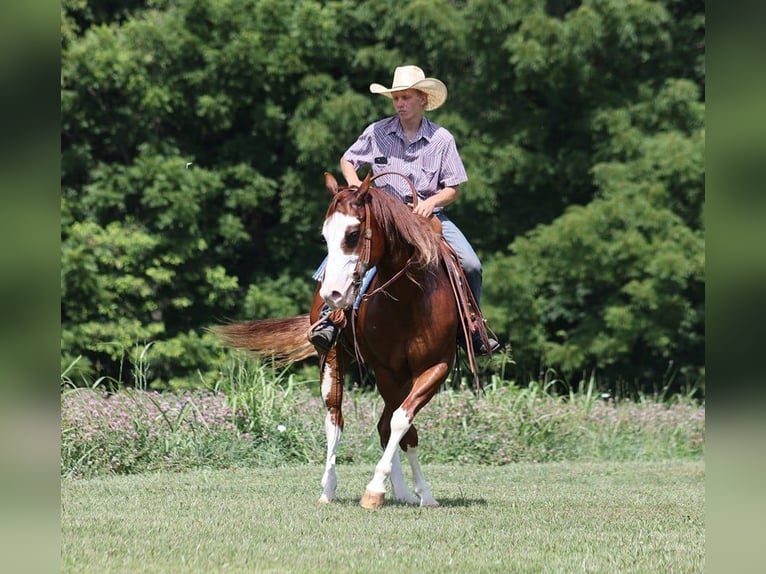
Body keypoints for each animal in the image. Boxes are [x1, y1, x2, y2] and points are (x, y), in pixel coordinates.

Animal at [216, 173, 486, 510]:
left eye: (354, 233)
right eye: (325, 236)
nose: (331, 293)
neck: (411, 298)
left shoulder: (435, 367)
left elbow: (400, 422)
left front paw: (418, 492)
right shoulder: (386, 370)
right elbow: (399, 425)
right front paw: (376, 489)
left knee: (385, 423)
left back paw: (402, 491)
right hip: (332, 360)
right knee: (335, 419)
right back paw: (329, 488)